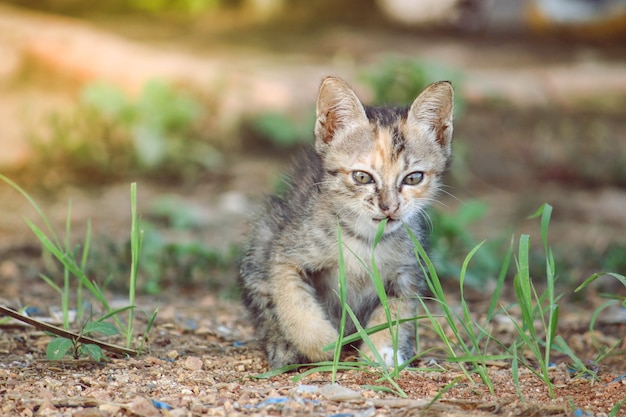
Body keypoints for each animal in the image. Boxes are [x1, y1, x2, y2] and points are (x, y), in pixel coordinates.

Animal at [240, 75, 454, 368]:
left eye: (413, 178)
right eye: (362, 177)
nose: (389, 207)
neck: (366, 238)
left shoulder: (408, 271)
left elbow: (396, 312)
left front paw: (383, 350)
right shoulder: (286, 253)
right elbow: (293, 301)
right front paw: (322, 343)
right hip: (265, 231)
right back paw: (283, 346)